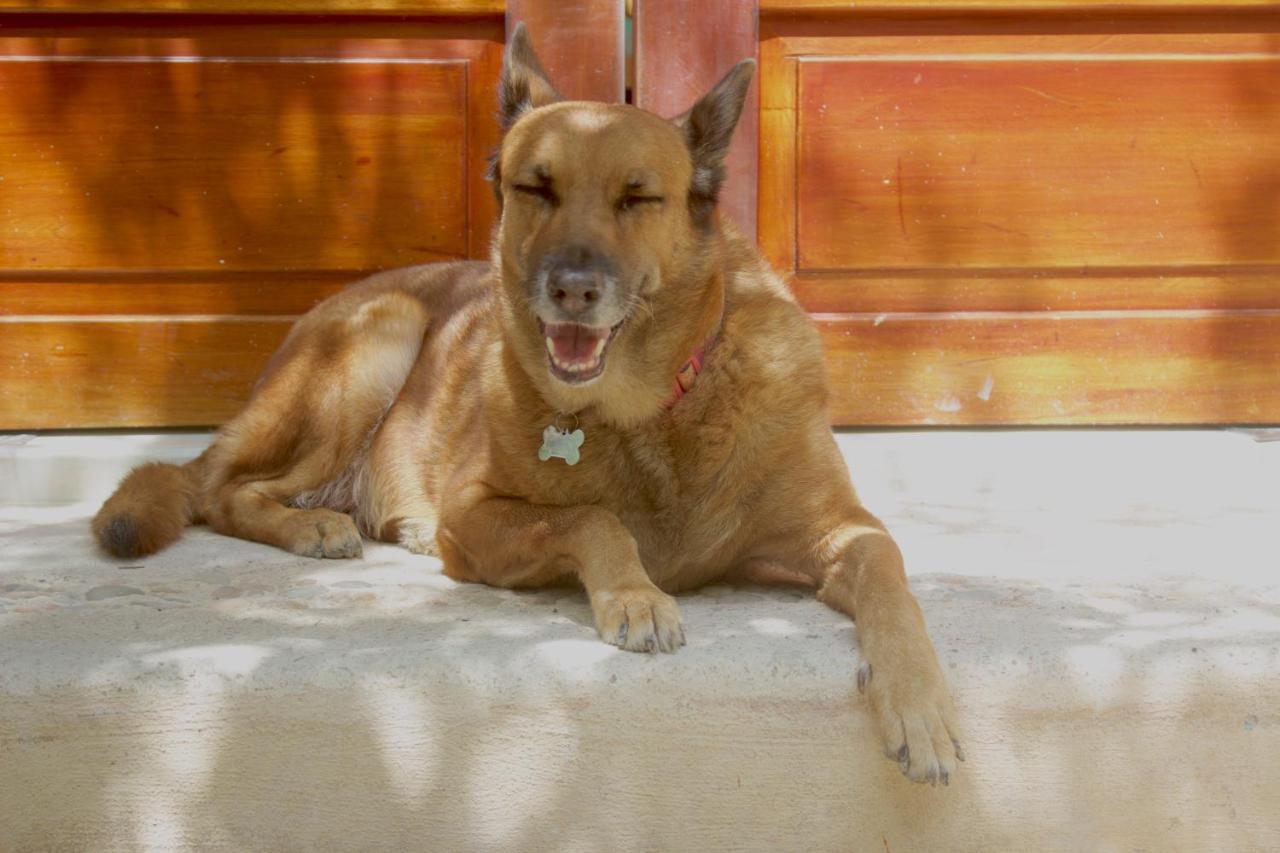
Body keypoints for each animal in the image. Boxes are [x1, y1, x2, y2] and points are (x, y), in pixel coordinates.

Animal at [92, 24, 962, 783]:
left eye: (638, 199)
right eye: (537, 188)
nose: (572, 288)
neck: (650, 411)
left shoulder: (844, 530)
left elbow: (891, 577)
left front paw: (921, 706)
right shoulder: (474, 515)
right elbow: (590, 516)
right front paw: (635, 592)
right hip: (381, 338)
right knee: (222, 490)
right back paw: (313, 525)